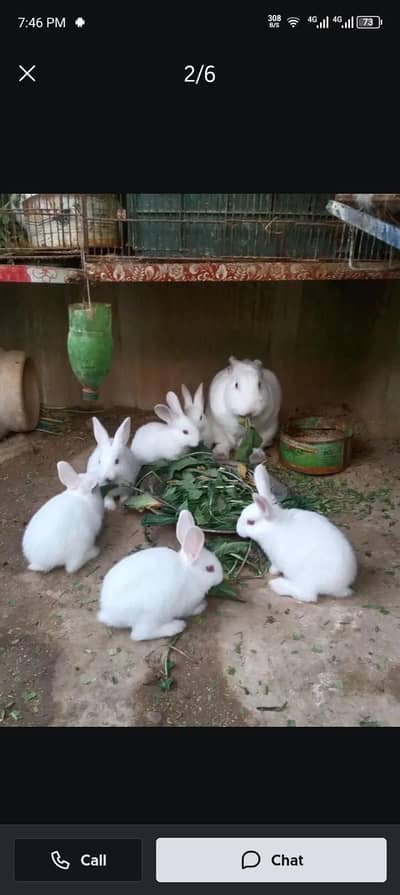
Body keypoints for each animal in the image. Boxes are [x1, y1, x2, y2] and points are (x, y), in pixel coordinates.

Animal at [98, 509, 223, 641]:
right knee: (139, 634)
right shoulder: (187, 604)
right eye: (210, 569)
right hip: (152, 613)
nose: (221, 577)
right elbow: (190, 610)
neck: (189, 573)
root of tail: (107, 613)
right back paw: (176, 627)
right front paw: (201, 606)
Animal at [236, 464, 357, 604]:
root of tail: (341, 586)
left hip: (304, 578)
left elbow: (276, 567)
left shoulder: (276, 559)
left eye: (250, 522)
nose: (237, 530)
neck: (273, 526)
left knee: (308, 595)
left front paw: (272, 572)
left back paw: (277, 585)